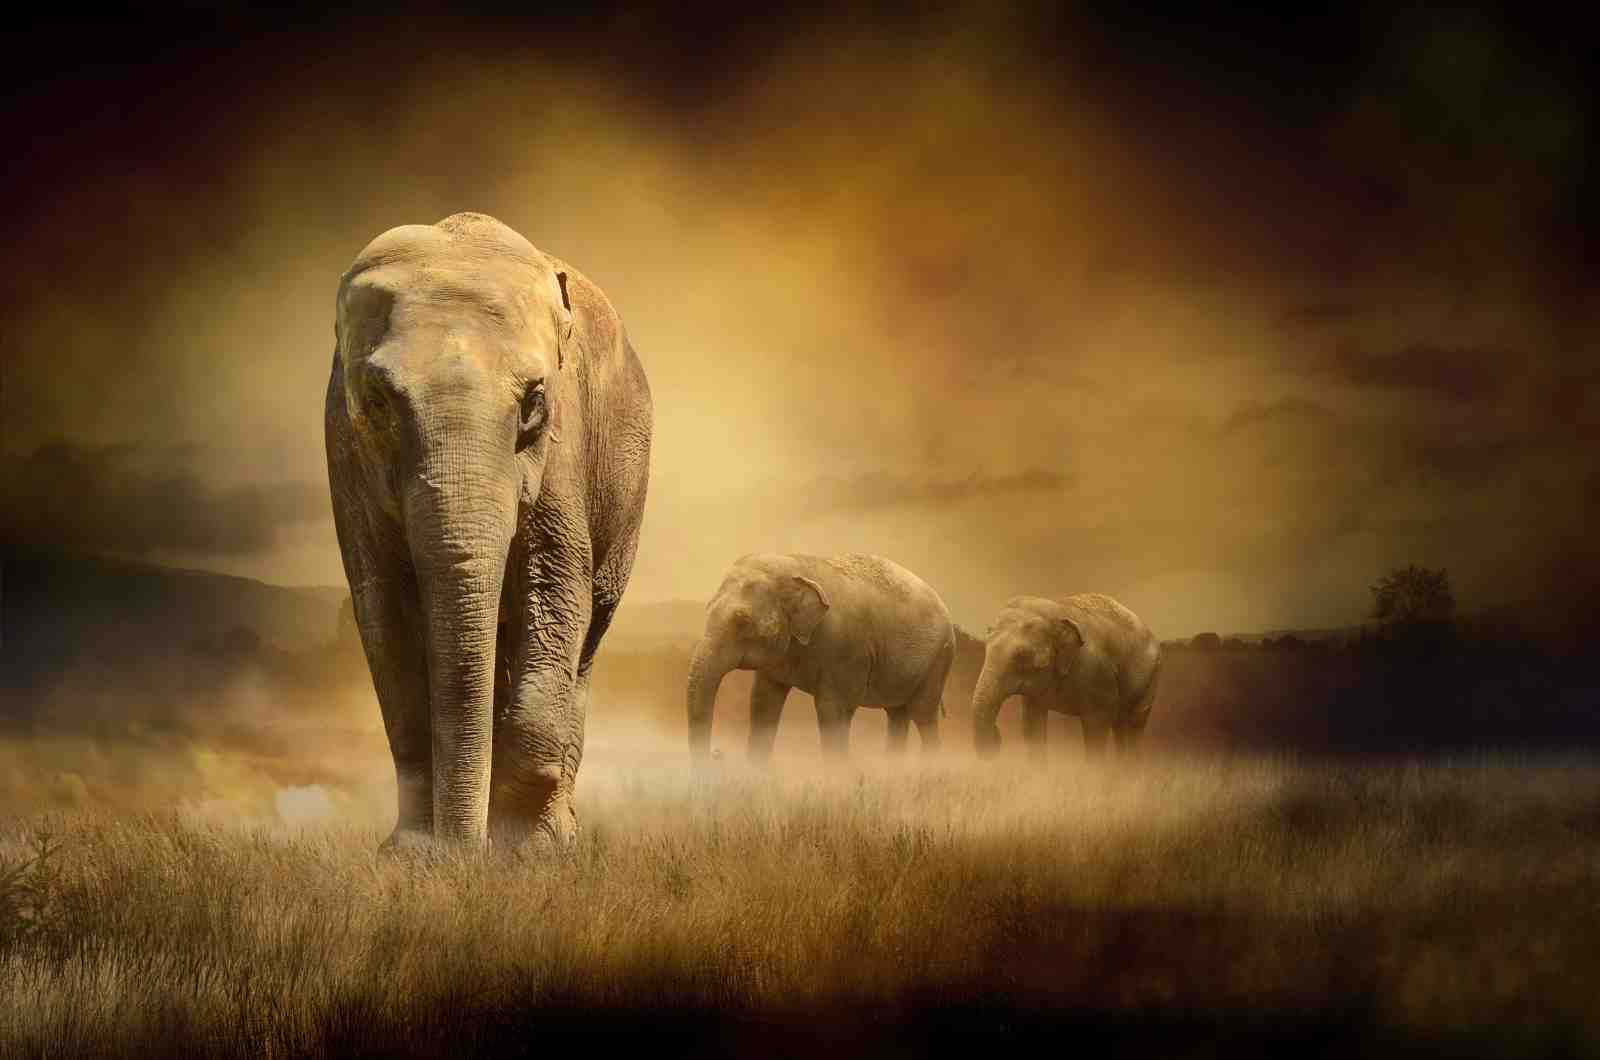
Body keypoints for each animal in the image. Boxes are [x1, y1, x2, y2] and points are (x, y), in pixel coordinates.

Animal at [324, 212, 651, 851]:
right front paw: (412, 854)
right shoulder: (342, 449)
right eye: (377, 401)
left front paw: (521, 849)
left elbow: (556, 590)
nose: (460, 852)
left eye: (535, 401)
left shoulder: (564, 448)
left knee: (588, 638)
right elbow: (384, 610)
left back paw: (553, 834)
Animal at [687, 553, 956, 762]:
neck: (794, 564)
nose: (717, 754)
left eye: (742, 621)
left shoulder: (845, 648)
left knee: (922, 714)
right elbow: (763, 702)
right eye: (707, 609)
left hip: (938, 659)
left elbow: (832, 710)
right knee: (898, 714)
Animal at [972, 593, 1160, 759]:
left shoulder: (1097, 674)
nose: (997, 736)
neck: (1058, 609)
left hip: (1151, 678)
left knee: (1135, 725)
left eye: (1022, 656)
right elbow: (1032, 725)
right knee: (1120, 726)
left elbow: (1096, 727)